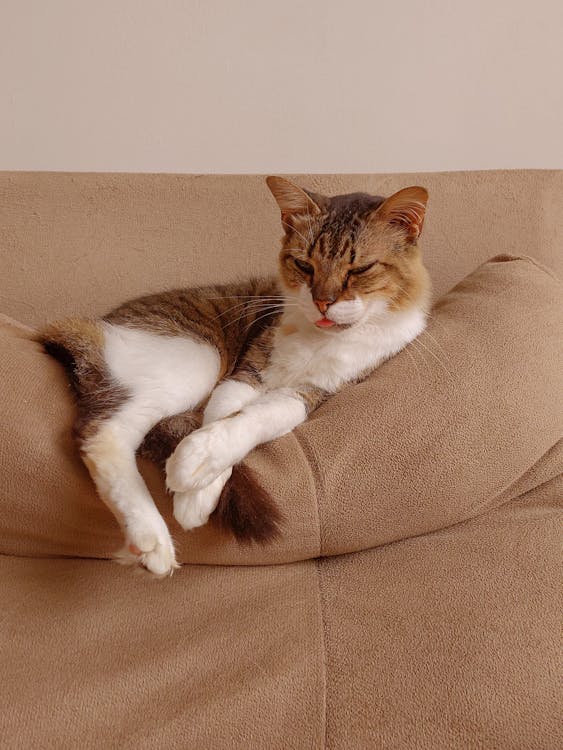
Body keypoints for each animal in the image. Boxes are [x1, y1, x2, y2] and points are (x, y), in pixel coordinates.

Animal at [40, 179, 432, 580]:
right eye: (304, 265)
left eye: (361, 268)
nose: (323, 303)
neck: (318, 338)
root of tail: (97, 325)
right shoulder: (244, 373)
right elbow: (221, 417)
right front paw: (195, 480)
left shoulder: (309, 393)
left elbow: (249, 421)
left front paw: (193, 484)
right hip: (200, 360)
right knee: (102, 433)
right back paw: (152, 540)